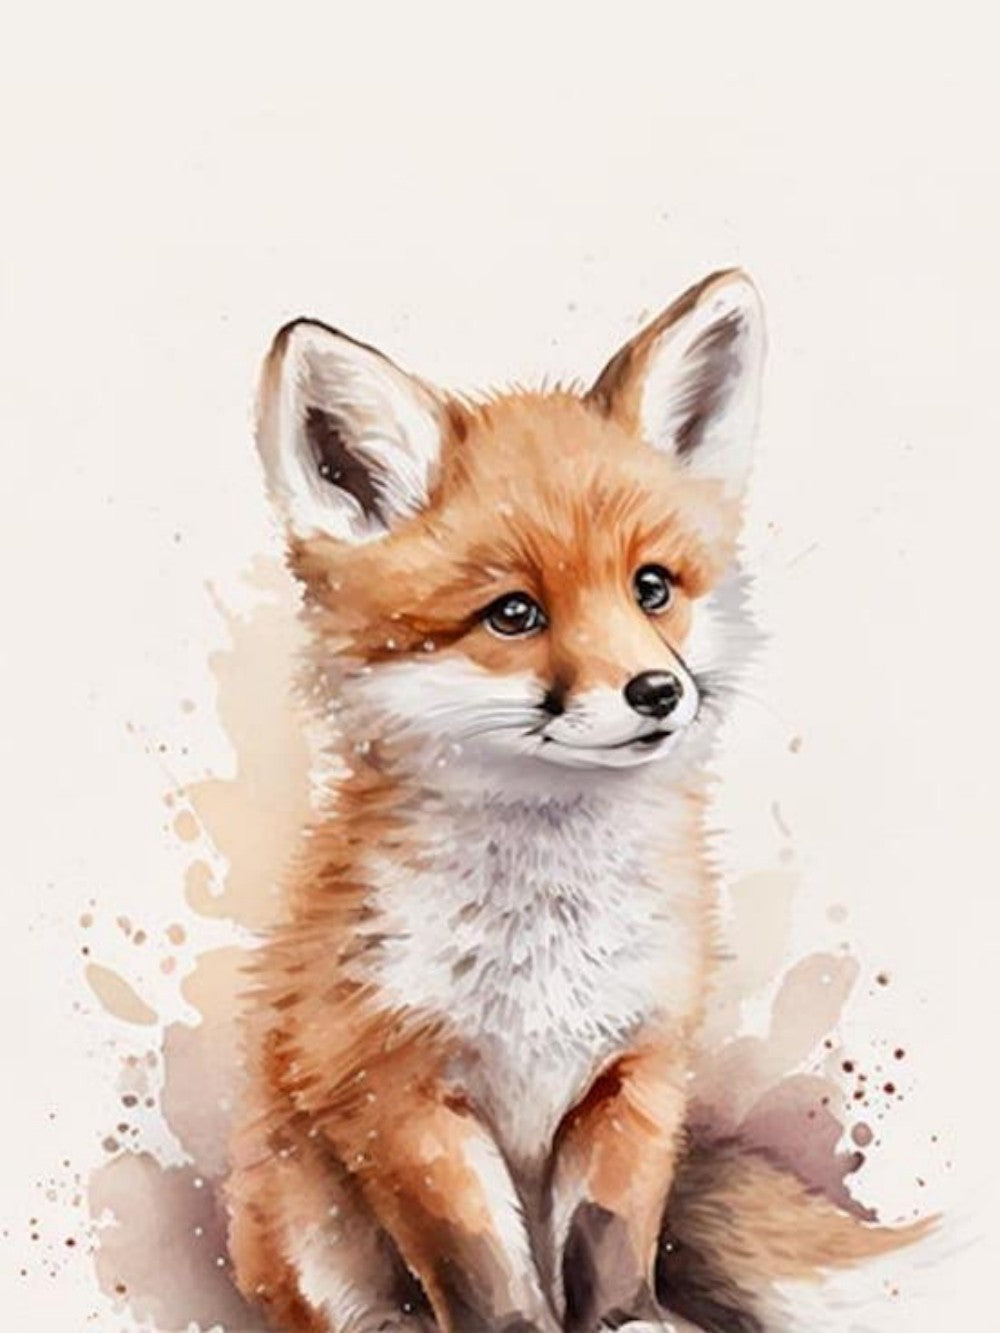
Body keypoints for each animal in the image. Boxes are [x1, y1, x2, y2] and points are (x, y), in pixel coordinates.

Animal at [225, 270, 930, 1333]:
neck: (545, 938)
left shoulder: (634, 1072)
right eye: (514, 613)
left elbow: (609, 1239)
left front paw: (628, 1319)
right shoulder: (399, 1092)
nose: (658, 692)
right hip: (295, 1207)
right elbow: (484, 1269)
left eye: (652, 588)